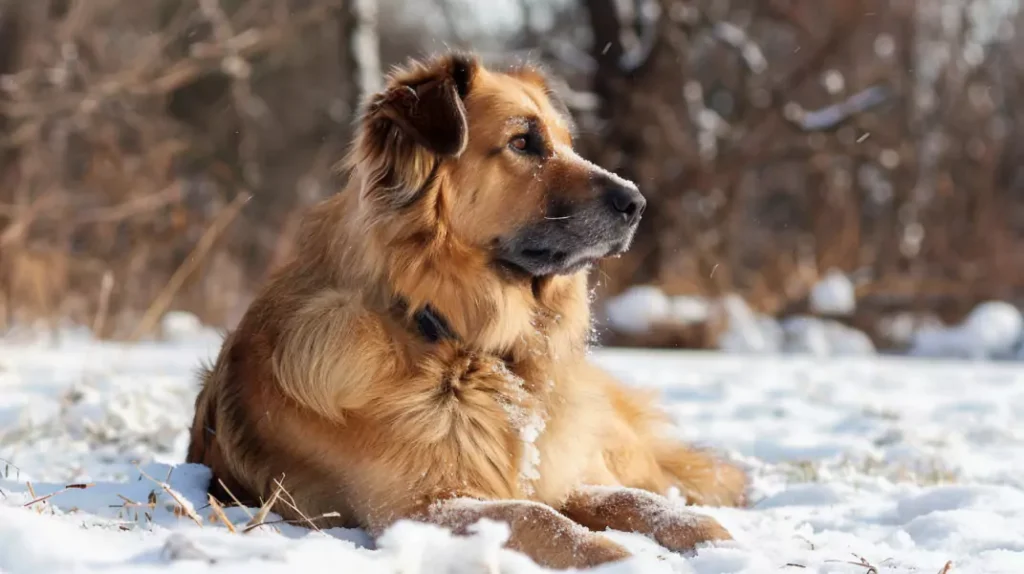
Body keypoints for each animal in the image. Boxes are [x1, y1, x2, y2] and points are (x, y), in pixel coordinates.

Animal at [186, 50, 745, 568]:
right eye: (522, 142)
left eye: (568, 143)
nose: (637, 204)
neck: (460, 342)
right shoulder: (425, 506)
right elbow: (542, 518)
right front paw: (619, 558)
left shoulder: (560, 474)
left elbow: (641, 503)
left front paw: (711, 538)